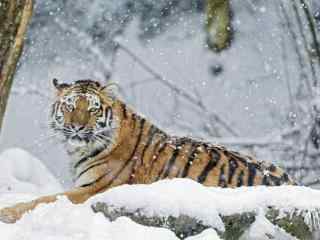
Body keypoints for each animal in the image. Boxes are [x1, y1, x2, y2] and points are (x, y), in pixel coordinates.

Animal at [0, 79, 296, 223]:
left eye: (92, 109)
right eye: (70, 106)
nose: (76, 127)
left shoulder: (92, 190)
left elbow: (42, 200)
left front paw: (7, 212)